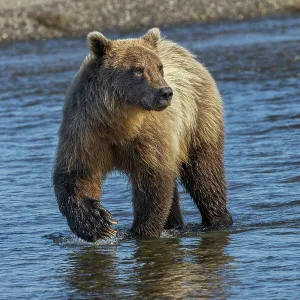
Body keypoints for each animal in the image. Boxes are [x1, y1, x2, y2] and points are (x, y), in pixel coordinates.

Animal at [53, 28, 232, 243]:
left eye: (159, 67)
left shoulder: (148, 135)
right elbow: (77, 173)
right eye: (138, 69)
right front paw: (97, 222)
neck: (119, 122)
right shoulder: (86, 131)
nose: (165, 92)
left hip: (198, 118)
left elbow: (153, 181)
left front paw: (141, 232)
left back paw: (217, 219)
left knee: (204, 171)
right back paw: (175, 224)